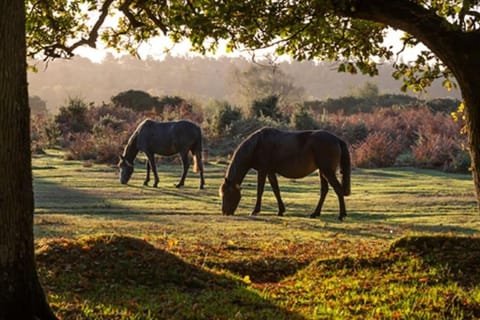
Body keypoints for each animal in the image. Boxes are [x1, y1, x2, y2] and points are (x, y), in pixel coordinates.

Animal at [219, 127, 350, 220]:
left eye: (227, 194)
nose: (225, 213)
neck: (257, 145)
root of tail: (337, 139)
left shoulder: (263, 170)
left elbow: (260, 190)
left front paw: (255, 211)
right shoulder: (270, 171)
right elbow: (276, 190)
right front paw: (281, 211)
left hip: (327, 171)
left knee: (338, 189)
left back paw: (341, 215)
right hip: (322, 172)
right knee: (324, 191)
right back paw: (315, 213)